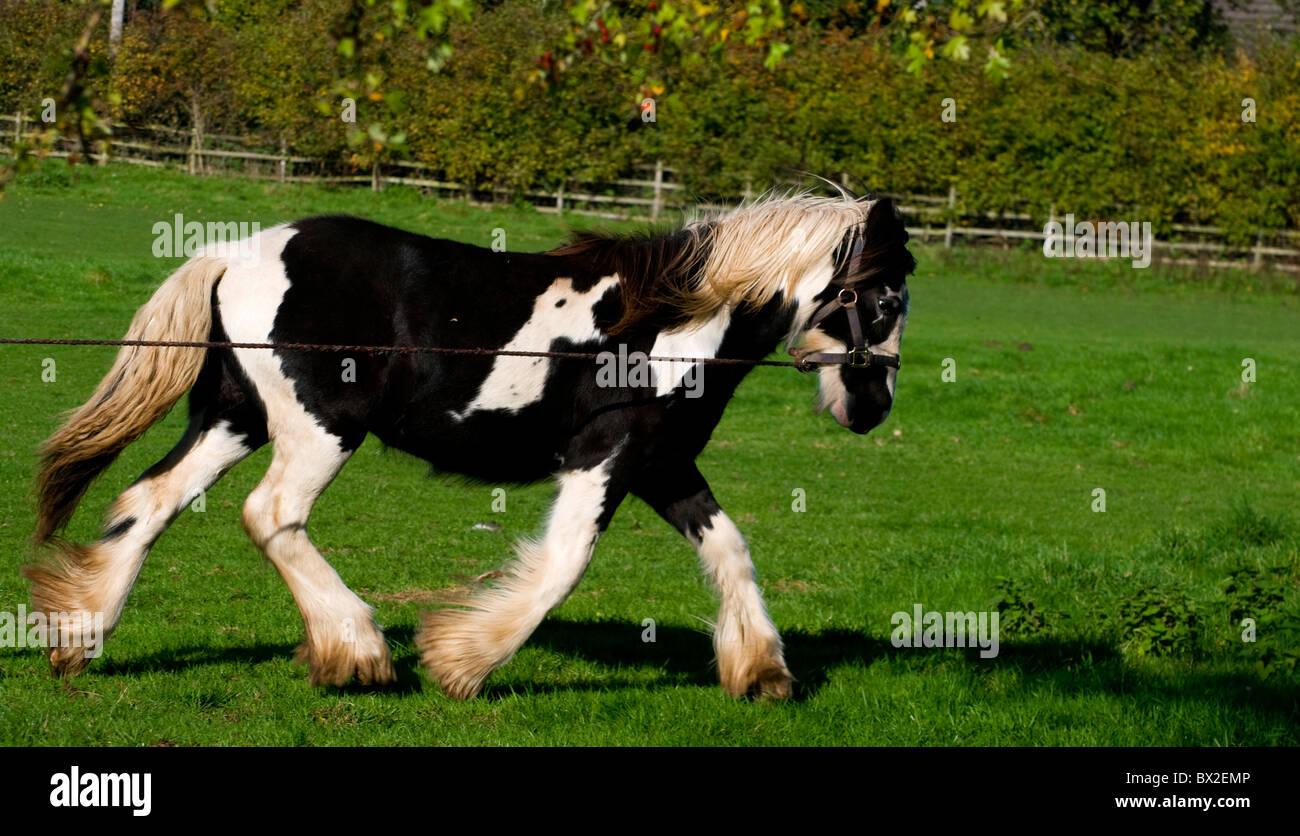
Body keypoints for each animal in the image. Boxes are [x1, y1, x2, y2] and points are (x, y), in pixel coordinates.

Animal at [27, 191, 915, 702]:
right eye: (883, 298)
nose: (873, 407)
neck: (674, 327)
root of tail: (234, 253)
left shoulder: (662, 463)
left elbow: (729, 549)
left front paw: (763, 673)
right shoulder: (606, 457)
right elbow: (563, 565)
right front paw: (462, 662)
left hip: (235, 417)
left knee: (151, 500)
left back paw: (79, 639)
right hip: (318, 428)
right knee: (270, 514)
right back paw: (357, 653)